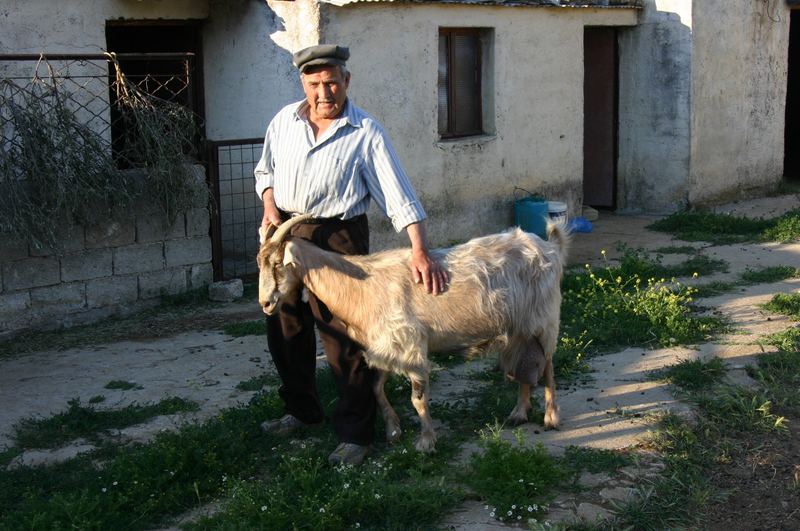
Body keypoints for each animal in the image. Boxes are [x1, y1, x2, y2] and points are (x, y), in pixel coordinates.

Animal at [258, 216, 568, 454]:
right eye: (261, 263)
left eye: (278, 264)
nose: (266, 303)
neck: (361, 285)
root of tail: (551, 247)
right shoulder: (385, 345)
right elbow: (375, 388)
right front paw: (393, 431)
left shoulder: (412, 345)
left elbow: (417, 399)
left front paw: (426, 442)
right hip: (518, 327)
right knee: (524, 363)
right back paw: (519, 413)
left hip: (544, 319)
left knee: (548, 367)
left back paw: (551, 417)